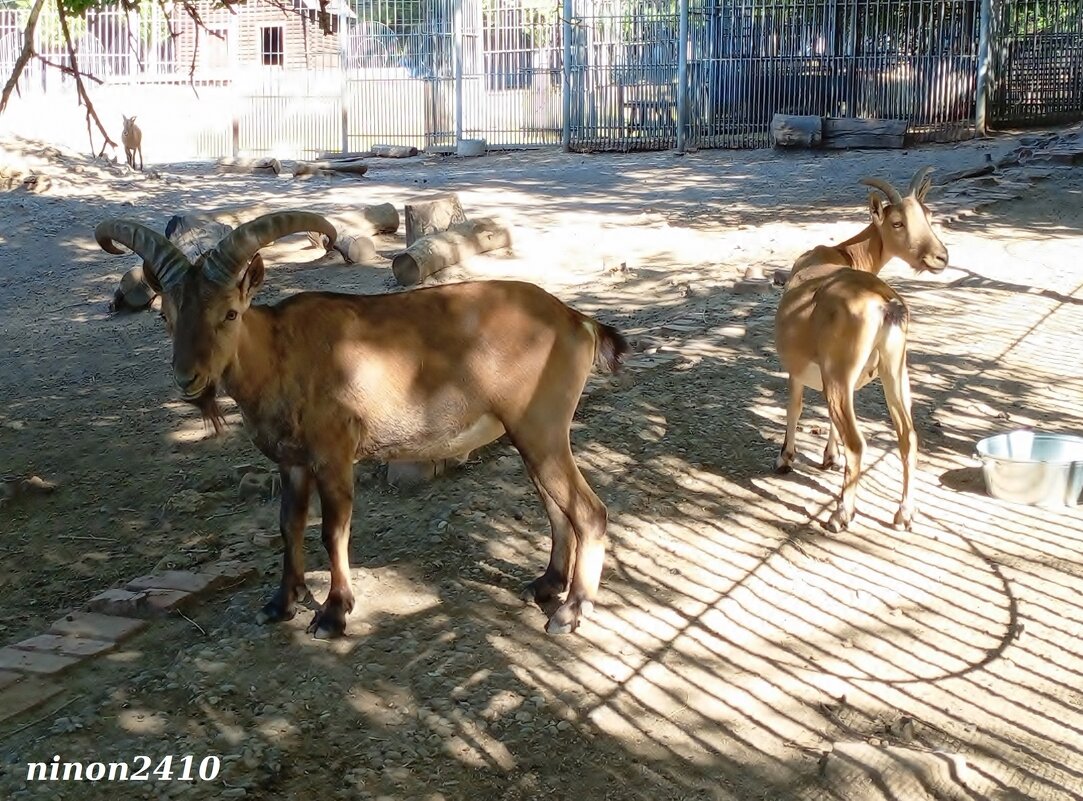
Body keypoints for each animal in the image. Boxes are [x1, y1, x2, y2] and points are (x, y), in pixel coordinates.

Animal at [771, 167, 948, 532]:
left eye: (928, 215)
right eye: (898, 222)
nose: (940, 257)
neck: (842, 254)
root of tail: (885, 304)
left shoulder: (802, 368)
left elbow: (795, 407)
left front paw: (785, 458)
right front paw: (829, 457)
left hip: (842, 373)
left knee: (858, 442)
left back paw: (841, 515)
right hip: (895, 369)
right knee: (908, 436)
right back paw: (904, 514)